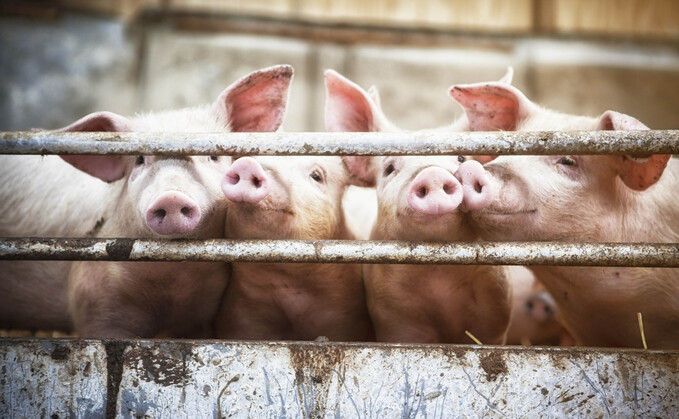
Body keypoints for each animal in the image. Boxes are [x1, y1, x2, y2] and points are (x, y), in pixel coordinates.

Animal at [324, 69, 512, 344]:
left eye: (461, 158)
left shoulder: (496, 315)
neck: (438, 276)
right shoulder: (394, 317)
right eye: (389, 168)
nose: (432, 174)